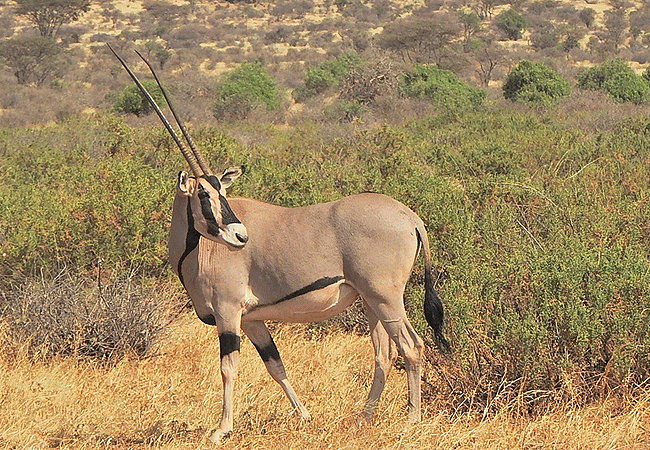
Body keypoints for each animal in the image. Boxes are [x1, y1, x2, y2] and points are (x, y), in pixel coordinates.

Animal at [109, 45, 450, 444]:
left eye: (220, 191)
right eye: (205, 194)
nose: (240, 236)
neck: (198, 251)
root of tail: (410, 217)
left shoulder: (228, 313)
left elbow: (228, 368)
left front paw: (221, 429)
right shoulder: (253, 320)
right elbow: (276, 365)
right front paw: (305, 416)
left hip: (385, 297)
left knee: (410, 347)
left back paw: (411, 419)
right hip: (370, 301)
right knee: (383, 354)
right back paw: (363, 418)